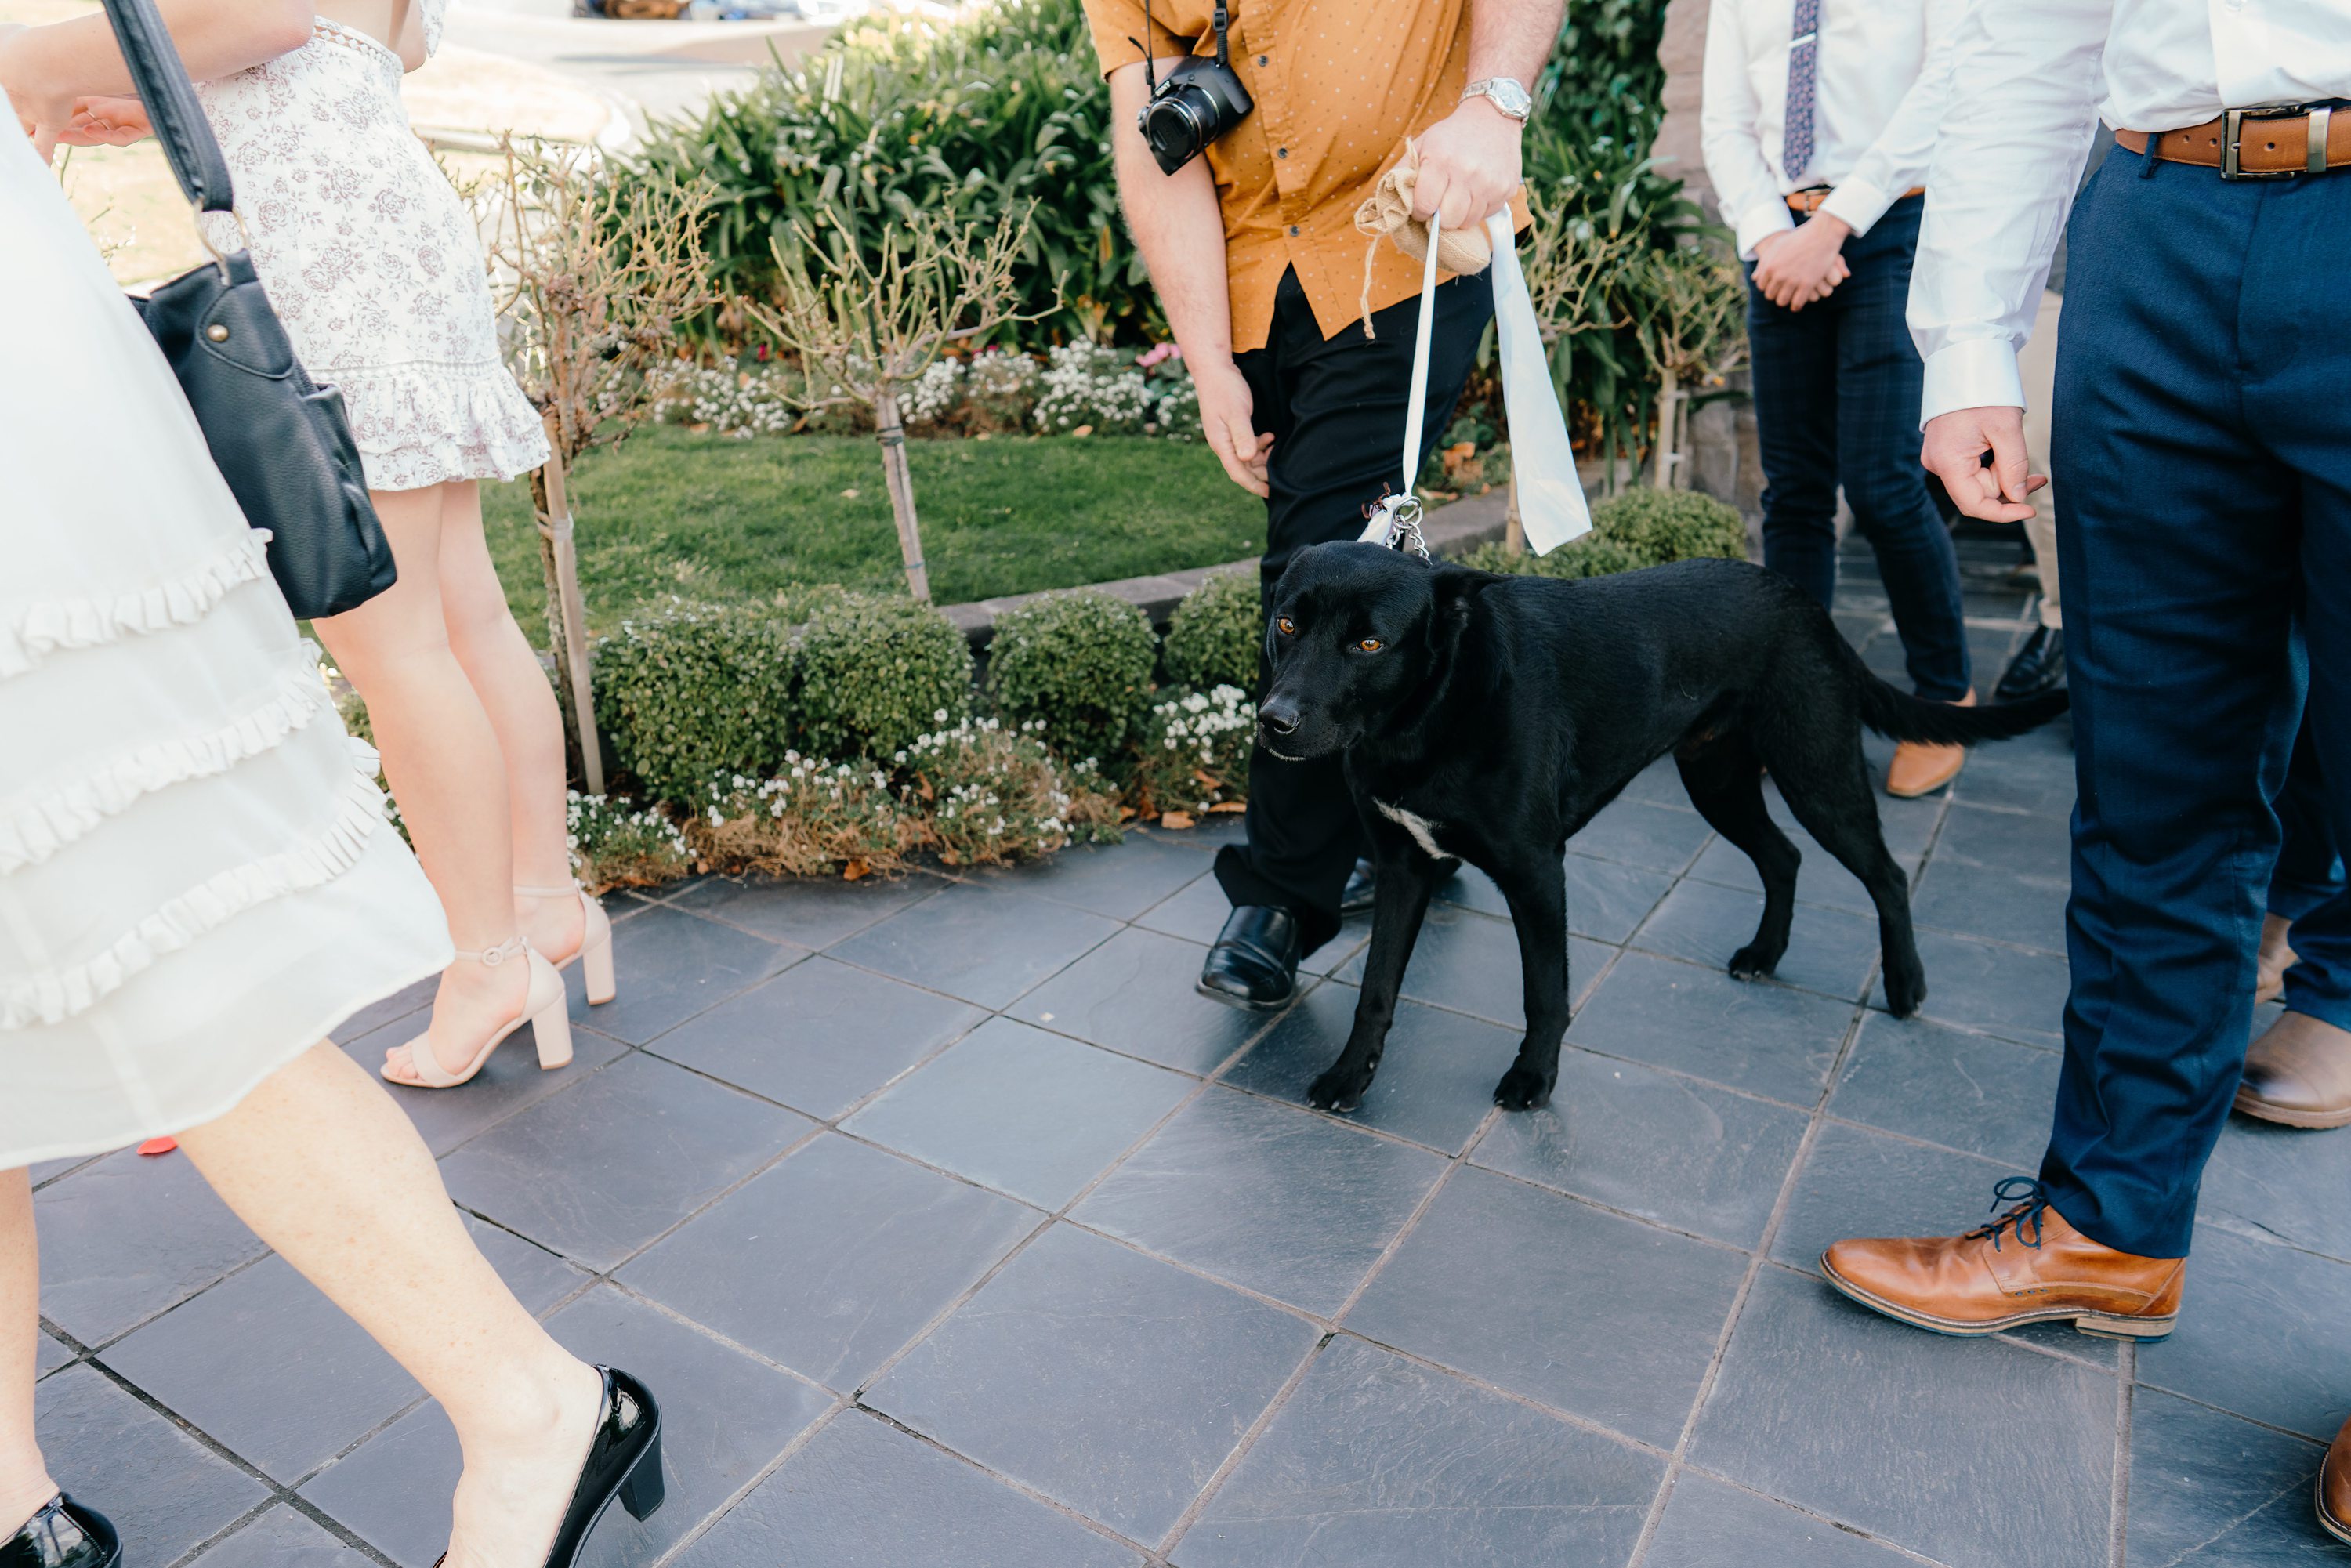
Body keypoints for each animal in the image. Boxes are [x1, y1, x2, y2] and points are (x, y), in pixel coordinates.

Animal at [1260, 545, 2069, 1110]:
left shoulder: (1536, 871)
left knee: (1887, 873)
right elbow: (1376, 988)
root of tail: (1808, 604)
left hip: (1817, 776)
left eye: (1368, 644)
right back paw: (1766, 953)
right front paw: (1349, 1077)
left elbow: (1544, 992)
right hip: (1718, 782)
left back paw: (1904, 984)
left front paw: (1533, 1078)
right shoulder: (1403, 866)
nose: (1274, 722)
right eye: (1288, 622)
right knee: (1783, 857)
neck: (1431, 711)